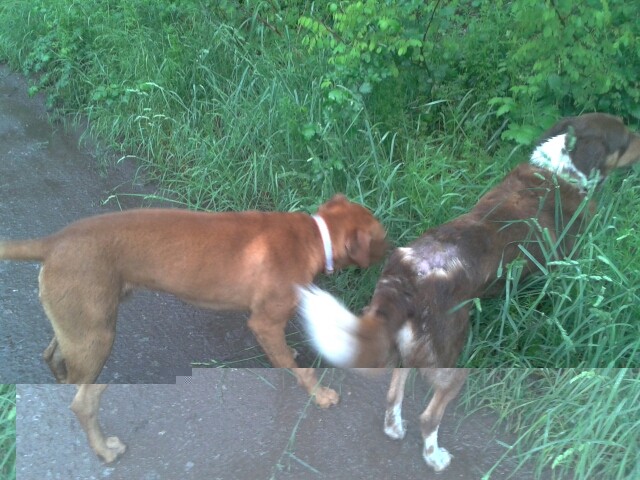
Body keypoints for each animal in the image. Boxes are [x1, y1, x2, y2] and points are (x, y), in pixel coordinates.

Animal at [0, 194, 388, 462]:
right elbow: (301, 371)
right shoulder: (264, 322)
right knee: (83, 402)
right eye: (381, 237)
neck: (314, 235)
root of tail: (54, 241)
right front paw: (320, 395)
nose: (395, 250)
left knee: (53, 356)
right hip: (97, 336)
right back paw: (104, 450)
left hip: (77, 324)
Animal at [298, 113, 640, 472]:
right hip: (450, 362)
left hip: (408, 349)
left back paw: (395, 428)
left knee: (394, 395)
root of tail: (407, 279)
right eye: (626, 138)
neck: (559, 170)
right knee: (429, 417)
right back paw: (435, 458)